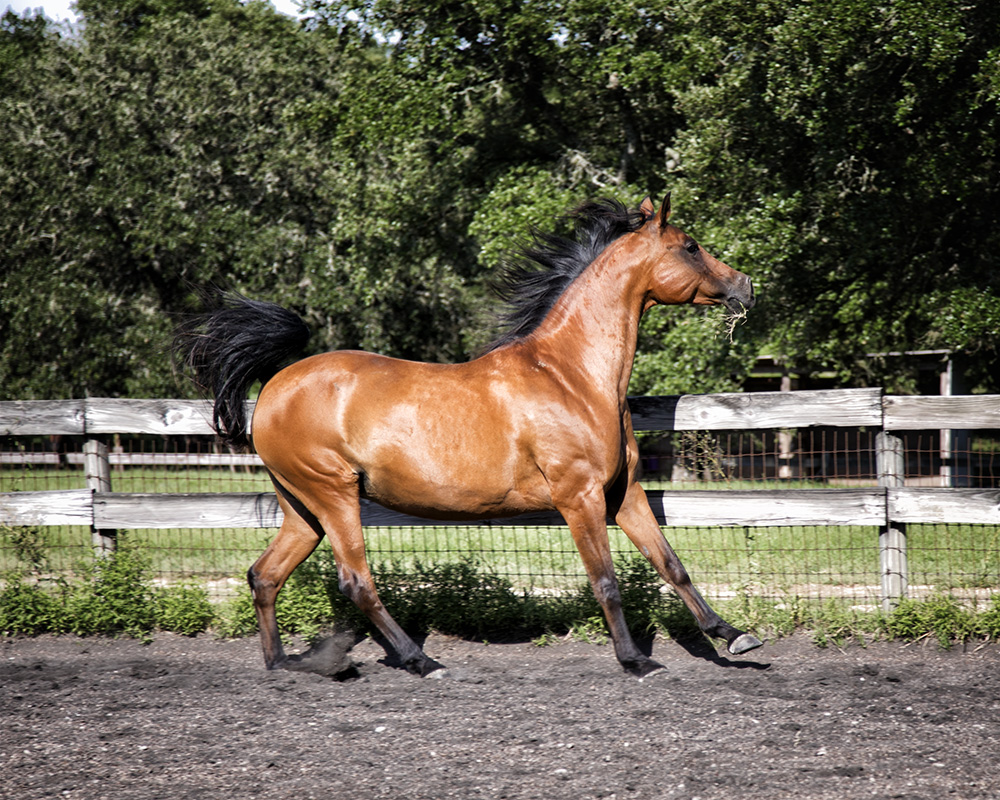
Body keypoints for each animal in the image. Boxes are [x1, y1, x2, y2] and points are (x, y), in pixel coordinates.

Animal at [180, 194, 756, 676]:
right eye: (691, 246)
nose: (745, 284)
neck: (572, 375)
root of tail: (275, 385)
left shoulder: (624, 493)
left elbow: (673, 566)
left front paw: (734, 637)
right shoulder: (580, 497)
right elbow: (607, 582)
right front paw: (636, 660)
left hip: (302, 507)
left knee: (265, 575)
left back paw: (287, 664)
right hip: (333, 494)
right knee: (356, 582)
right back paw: (420, 661)